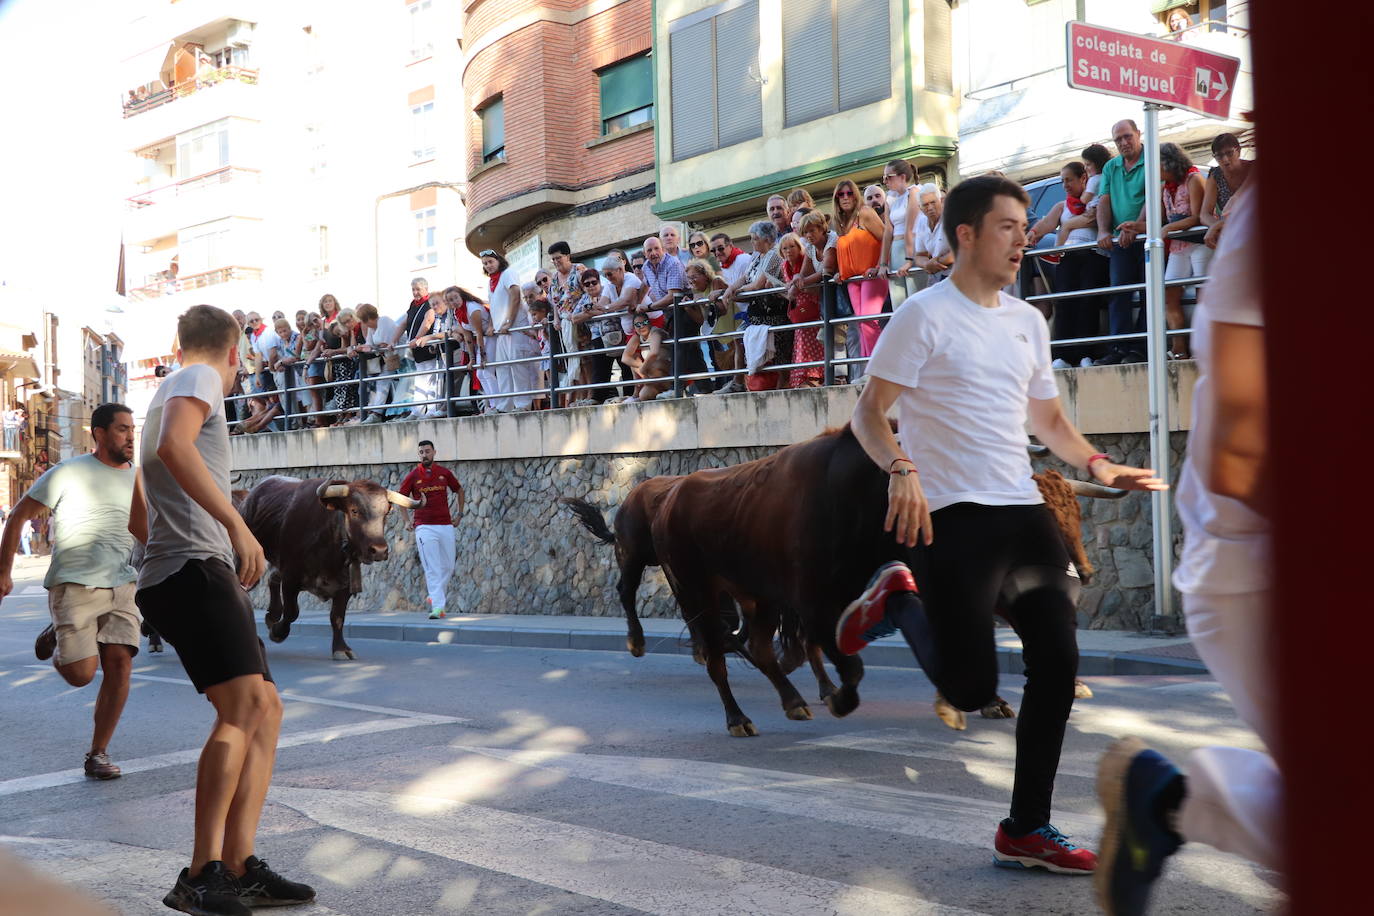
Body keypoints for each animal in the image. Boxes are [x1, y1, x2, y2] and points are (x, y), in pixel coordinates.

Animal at [236, 477, 420, 661]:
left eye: (386, 513)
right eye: (354, 510)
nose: (380, 550)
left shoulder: (345, 586)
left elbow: (337, 617)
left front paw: (341, 648)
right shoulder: (290, 579)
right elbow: (292, 612)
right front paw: (278, 632)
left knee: (272, 577)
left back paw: (272, 615)